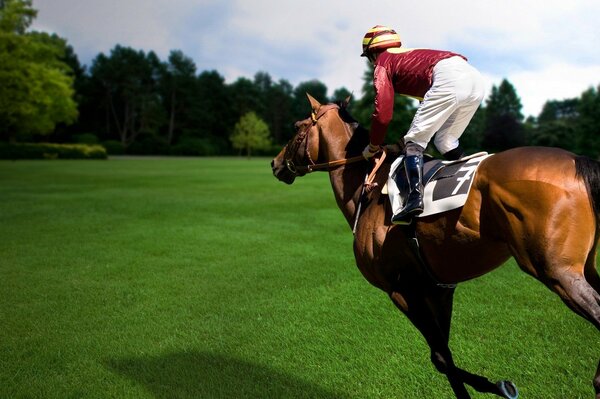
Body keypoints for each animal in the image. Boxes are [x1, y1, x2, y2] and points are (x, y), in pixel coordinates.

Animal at [270, 94, 600, 399]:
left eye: (297, 127)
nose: (275, 163)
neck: (368, 188)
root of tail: (578, 160)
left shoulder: (401, 289)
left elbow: (440, 357)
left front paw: (500, 386)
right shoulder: (439, 288)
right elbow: (444, 356)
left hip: (557, 271)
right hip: (584, 267)